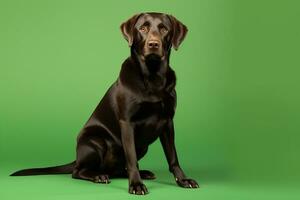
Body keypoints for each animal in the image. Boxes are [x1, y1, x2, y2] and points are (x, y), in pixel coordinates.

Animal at [10, 11, 199, 195]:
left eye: (164, 29)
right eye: (143, 28)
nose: (153, 44)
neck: (153, 78)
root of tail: (77, 158)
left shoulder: (167, 122)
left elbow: (173, 157)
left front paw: (183, 180)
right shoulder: (127, 123)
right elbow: (131, 159)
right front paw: (136, 185)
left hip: (142, 146)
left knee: (119, 169)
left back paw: (140, 173)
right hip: (96, 141)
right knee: (78, 172)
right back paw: (98, 176)